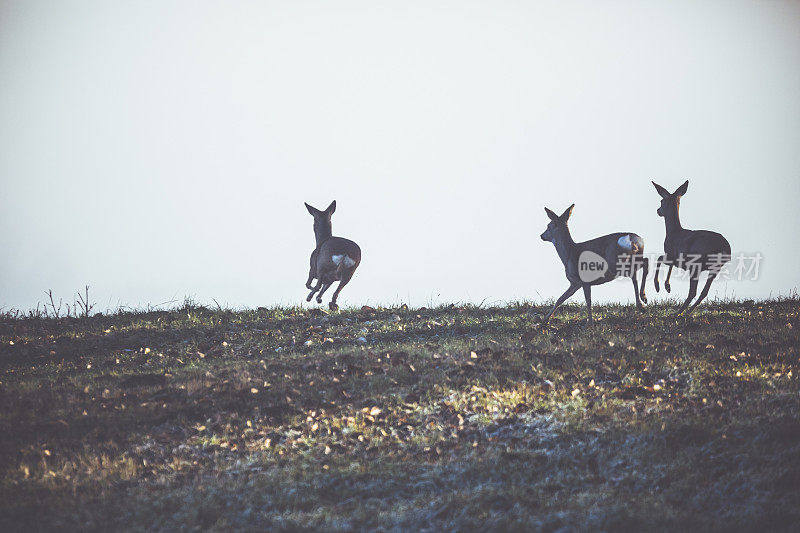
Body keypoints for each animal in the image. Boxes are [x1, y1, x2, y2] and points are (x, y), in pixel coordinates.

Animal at [648, 181, 732, 314]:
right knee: (703, 292)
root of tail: (725, 249)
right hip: (715, 268)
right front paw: (667, 286)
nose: (658, 210)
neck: (673, 232)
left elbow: (659, 258)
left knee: (693, 291)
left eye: (661, 201)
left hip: (696, 264)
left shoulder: (673, 256)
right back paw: (687, 312)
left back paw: (678, 313)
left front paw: (659, 286)